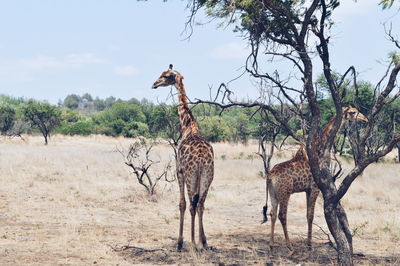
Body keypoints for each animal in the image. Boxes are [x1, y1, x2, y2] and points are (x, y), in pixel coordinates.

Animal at [152, 64, 214, 251]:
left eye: (165, 75)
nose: (154, 84)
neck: (189, 126)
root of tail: (201, 160)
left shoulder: (178, 170)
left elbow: (182, 204)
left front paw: (180, 242)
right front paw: (202, 241)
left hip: (191, 175)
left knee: (192, 204)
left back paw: (192, 243)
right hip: (208, 176)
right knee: (201, 204)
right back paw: (203, 242)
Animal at [262, 105, 368, 248]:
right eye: (353, 112)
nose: (365, 119)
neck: (319, 150)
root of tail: (270, 176)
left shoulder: (307, 190)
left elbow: (308, 215)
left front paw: (309, 243)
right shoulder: (315, 187)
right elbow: (311, 215)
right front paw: (309, 244)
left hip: (273, 192)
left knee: (272, 213)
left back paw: (271, 244)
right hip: (285, 192)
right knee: (282, 215)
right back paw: (289, 246)